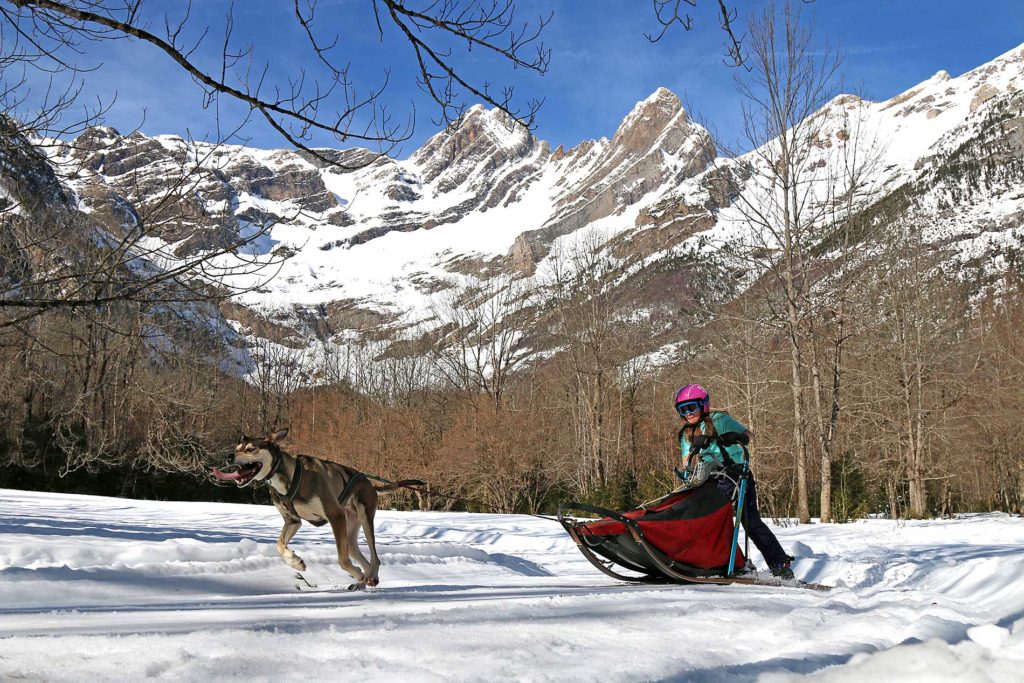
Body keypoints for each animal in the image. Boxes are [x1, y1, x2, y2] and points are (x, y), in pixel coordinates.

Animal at [207, 430, 419, 589]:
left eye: (251, 449)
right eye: (236, 448)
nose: (228, 456)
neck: (290, 476)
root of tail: (369, 483)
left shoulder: (335, 516)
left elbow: (342, 560)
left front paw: (356, 574)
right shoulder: (293, 520)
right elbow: (279, 544)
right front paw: (296, 561)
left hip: (364, 518)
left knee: (374, 557)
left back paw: (368, 577)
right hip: (350, 529)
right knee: (358, 553)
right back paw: (363, 580)